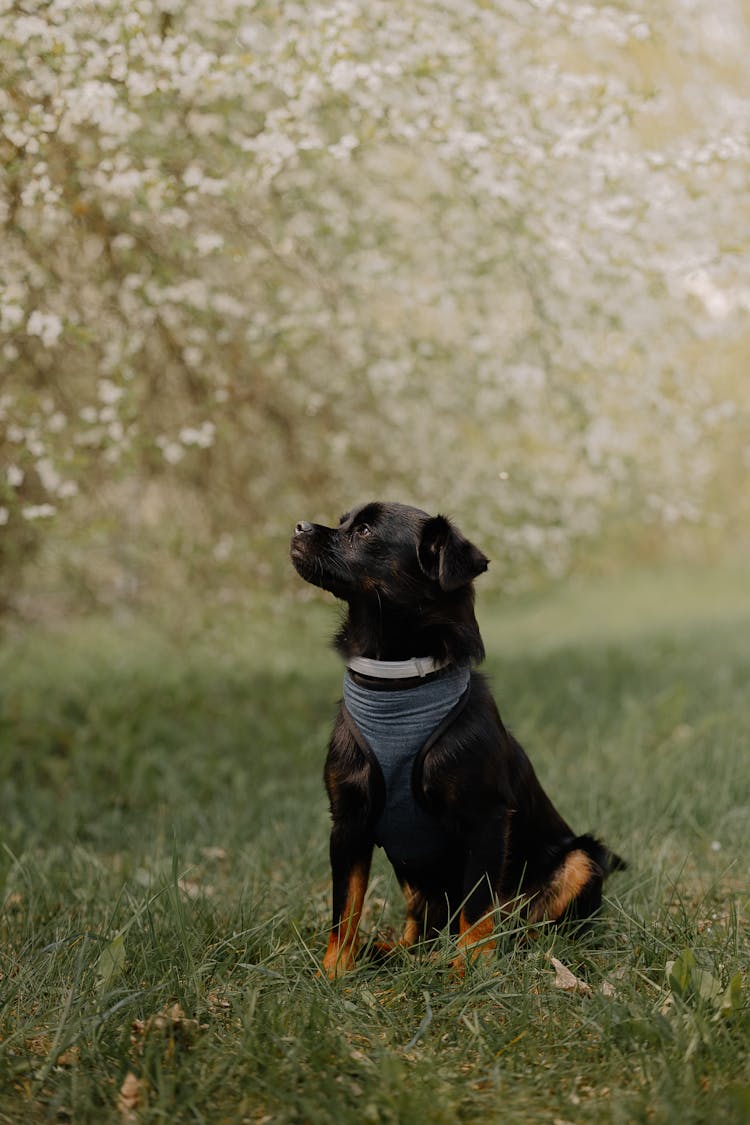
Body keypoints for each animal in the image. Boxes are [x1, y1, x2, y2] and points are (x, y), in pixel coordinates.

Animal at [290, 504, 625, 976]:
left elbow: (478, 907)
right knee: (423, 924)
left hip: (581, 858)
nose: (298, 526)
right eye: (342, 521)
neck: (395, 681)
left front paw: (471, 970)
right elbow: (345, 909)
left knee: (529, 925)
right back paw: (397, 952)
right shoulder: (348, 822)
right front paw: (335, 972)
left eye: (365, 531)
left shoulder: (484, 819)